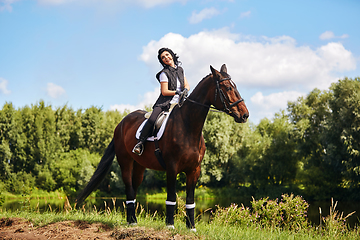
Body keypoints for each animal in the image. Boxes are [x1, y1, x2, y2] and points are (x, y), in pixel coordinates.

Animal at [77, 63, 249, 231]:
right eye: (228, 88)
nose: (245, 115)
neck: (188, 126)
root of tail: (121, 123)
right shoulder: (172, 168)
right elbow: (171, 197)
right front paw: (170, 225)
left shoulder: (194, 170)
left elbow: (190, 199)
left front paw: (191, 227)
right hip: (125, 161)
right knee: (128, 187)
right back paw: (131, 222)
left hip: (139, 166)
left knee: (134, 187)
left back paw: (132, 220)